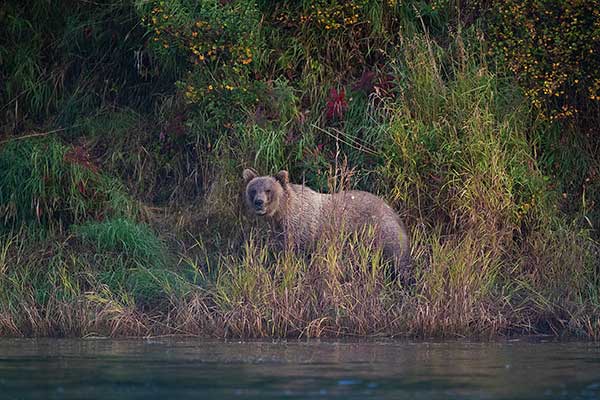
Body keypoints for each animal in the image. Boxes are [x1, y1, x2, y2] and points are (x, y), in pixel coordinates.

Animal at [241, 169, 410, 282]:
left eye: (268, 190)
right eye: (253, 189)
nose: (259, 202)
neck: (281, 213)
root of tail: (391, 209)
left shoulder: (302, 230)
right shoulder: (280, 232)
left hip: (380, 230)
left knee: (397, 257)